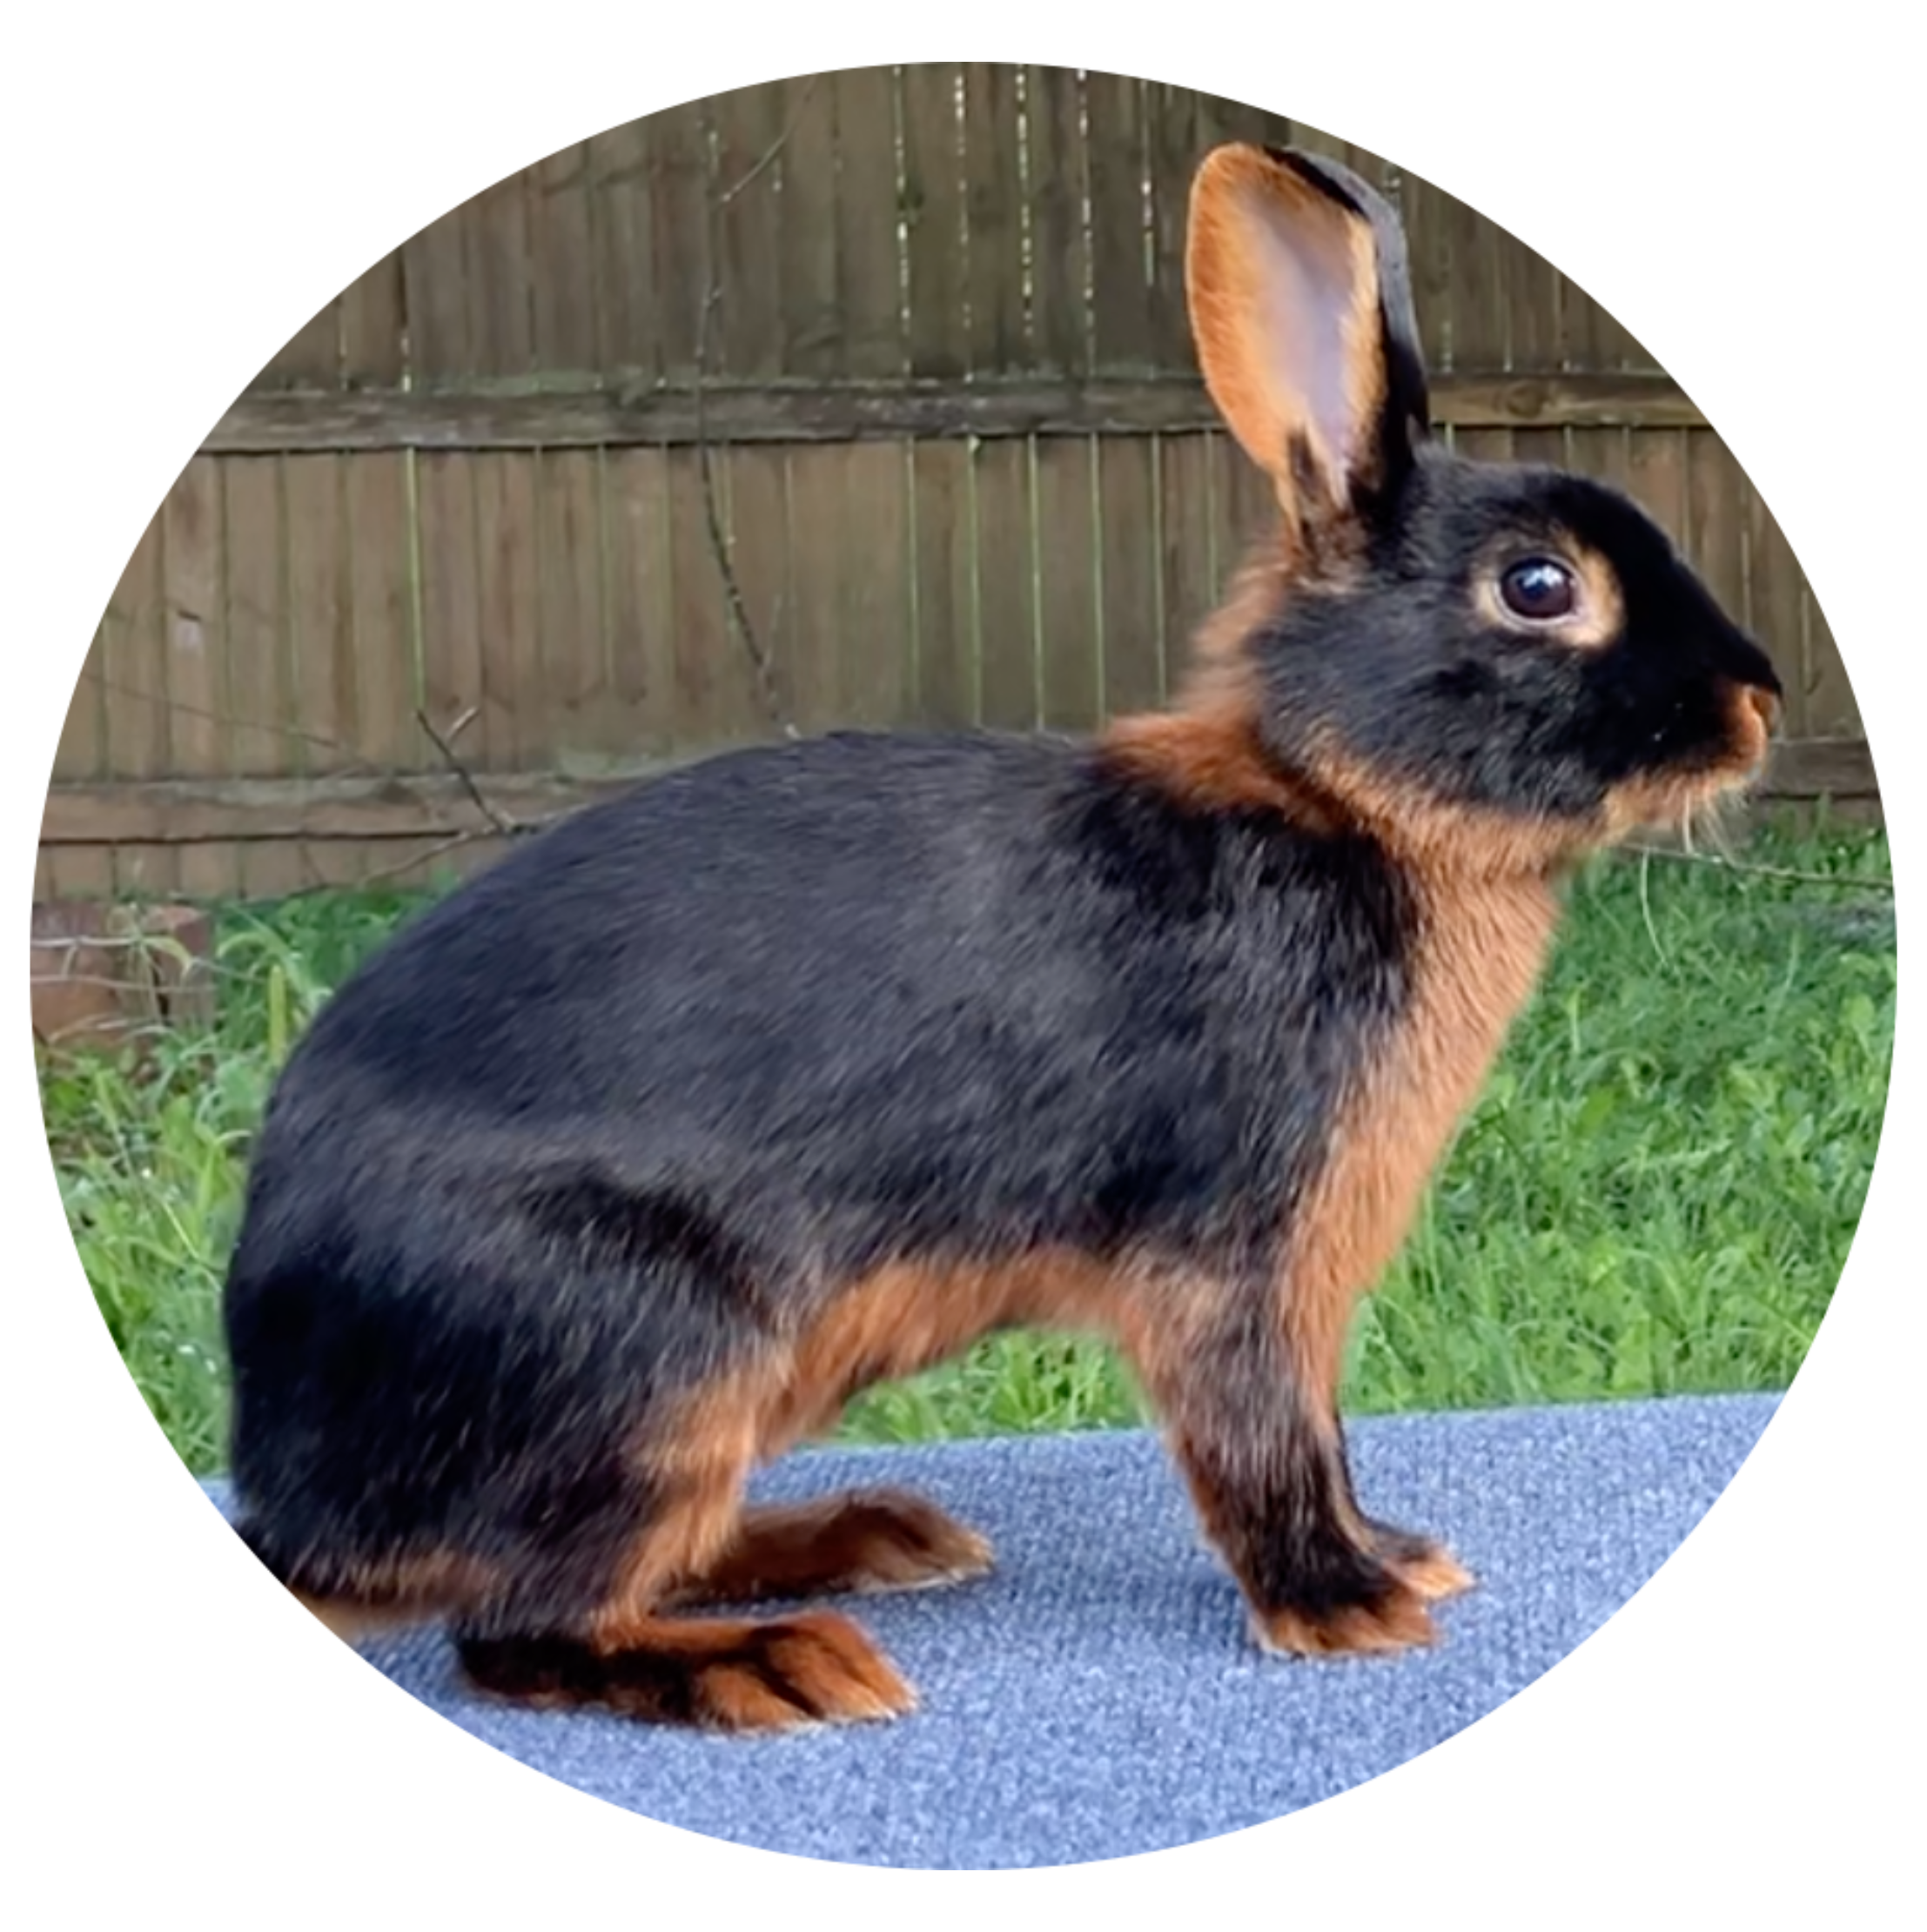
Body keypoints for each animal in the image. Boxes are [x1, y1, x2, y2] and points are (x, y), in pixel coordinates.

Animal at [221, 143, 1782, 1733]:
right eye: (1537, 586)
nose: (1754, 703)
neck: (1340, 800)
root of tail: (300, 1495)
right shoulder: (1231, 1265)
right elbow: (1259, 1443)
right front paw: (1347, 1608)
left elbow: (1324, 1437)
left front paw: (1396, 1554)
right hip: (644, 1355)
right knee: (523, 1627)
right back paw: (781, 1661)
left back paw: (864, 1537)